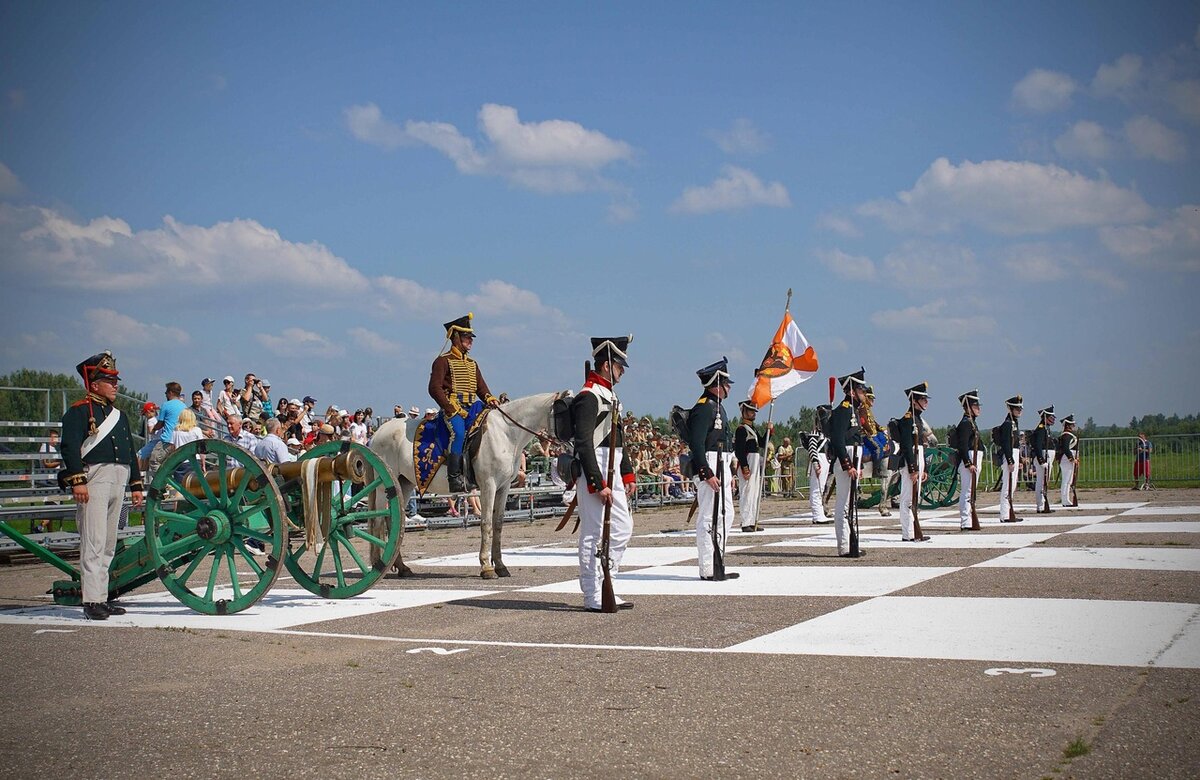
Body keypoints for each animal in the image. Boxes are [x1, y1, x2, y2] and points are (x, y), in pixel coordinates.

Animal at [367, 388, 568, 576]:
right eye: (564, 412)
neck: (506, 433)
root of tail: (378, 434)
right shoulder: (488, 485)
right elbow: (486, 522)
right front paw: (486, 566)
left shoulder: (503, 487)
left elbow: (498, 524)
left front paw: (500, 566)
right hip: (382, 485)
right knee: (377, 519)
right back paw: (377, 565)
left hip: (404, 484)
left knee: (393, 521)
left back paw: (401, 567)